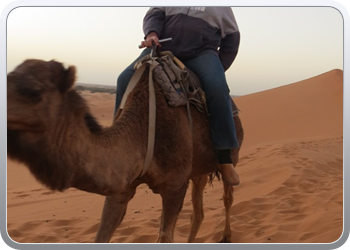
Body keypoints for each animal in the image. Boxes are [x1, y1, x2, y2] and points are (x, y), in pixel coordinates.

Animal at [7, 58, 243, 242]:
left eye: (33, 91)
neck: (143, 127)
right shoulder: (121, 187)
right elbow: (101, 234)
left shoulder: (175, 186)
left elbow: (165, 236)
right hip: (199, 170)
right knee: (198, 212)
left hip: (232, 154)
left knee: (227, 196)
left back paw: (226, 236)